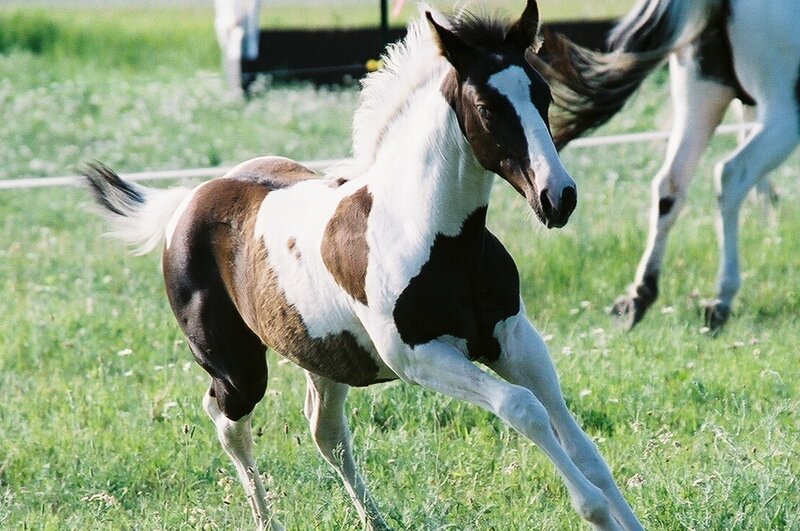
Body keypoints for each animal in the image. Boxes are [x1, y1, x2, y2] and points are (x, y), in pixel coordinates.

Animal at [84, 2, 642, 530]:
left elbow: (582, 446)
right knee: (227, 420)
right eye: (486, 107)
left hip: (325, 359)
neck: (435, 239)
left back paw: (374, 521)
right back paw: (268, 520)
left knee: (326, 433)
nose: (558, 197)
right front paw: (596, 513)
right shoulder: (418, 357)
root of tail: (187, 201)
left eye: (543, 94)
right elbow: (522, 407)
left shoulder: (515, 338)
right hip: (239, 369)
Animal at [531, 0, 800, 330]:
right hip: (782, 115)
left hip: (702, 98)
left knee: (671, 183)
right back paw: (721, 300)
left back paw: (639, 296)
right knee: (732, 174)